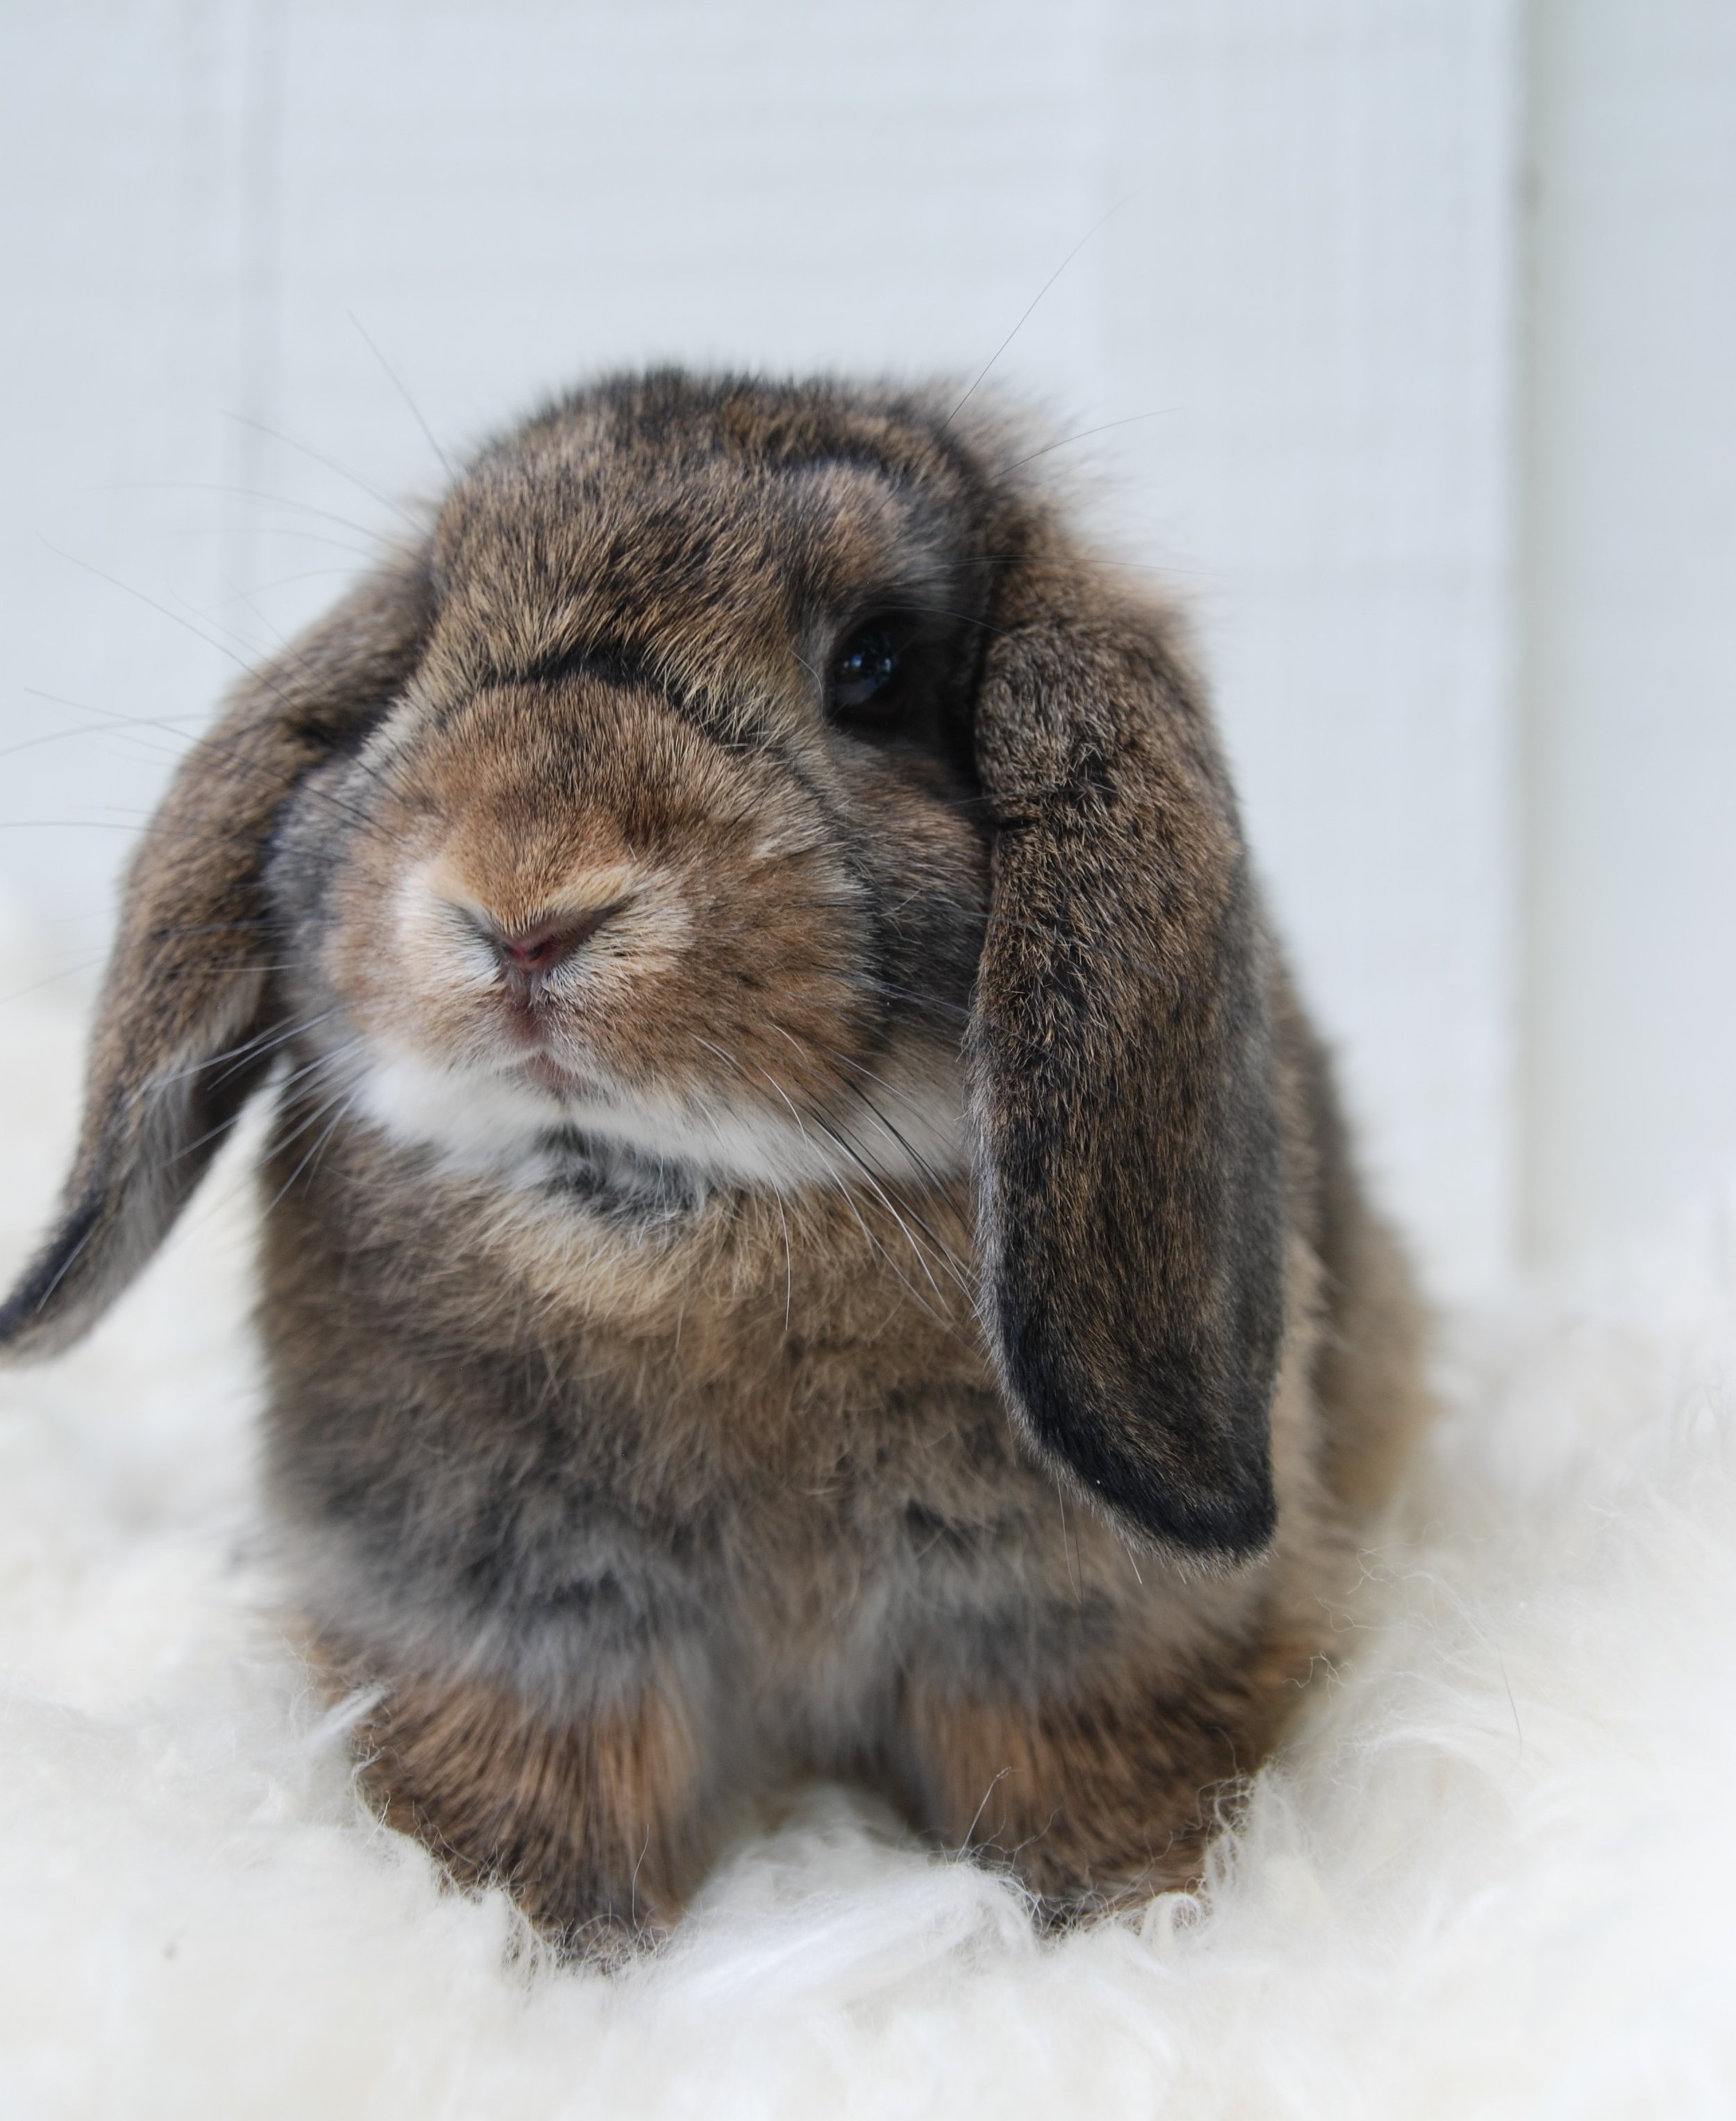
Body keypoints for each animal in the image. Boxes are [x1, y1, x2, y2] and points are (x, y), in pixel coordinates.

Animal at [0, 370, 1428, 1952]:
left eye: (873, 667)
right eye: (435, 629)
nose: (525, 910)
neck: (678, 1242)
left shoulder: (1071, 1640)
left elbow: (1083, 1796)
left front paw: (1125, 1929)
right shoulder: (509, 1626)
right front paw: (525, 1944)